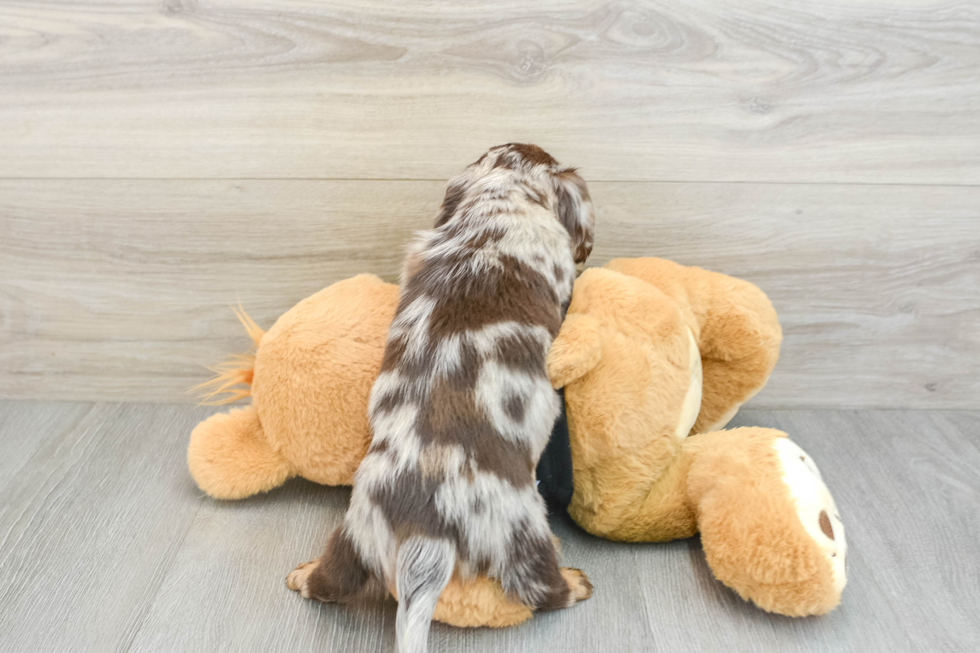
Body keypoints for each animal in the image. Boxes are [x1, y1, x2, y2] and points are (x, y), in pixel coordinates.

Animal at [290, 144, 596, 652]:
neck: (497, 208)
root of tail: (426, 527)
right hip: (523, 530)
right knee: (541, 589)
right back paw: (575, 582)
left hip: (357, 531)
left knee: (333, 580)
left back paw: (303, 574)